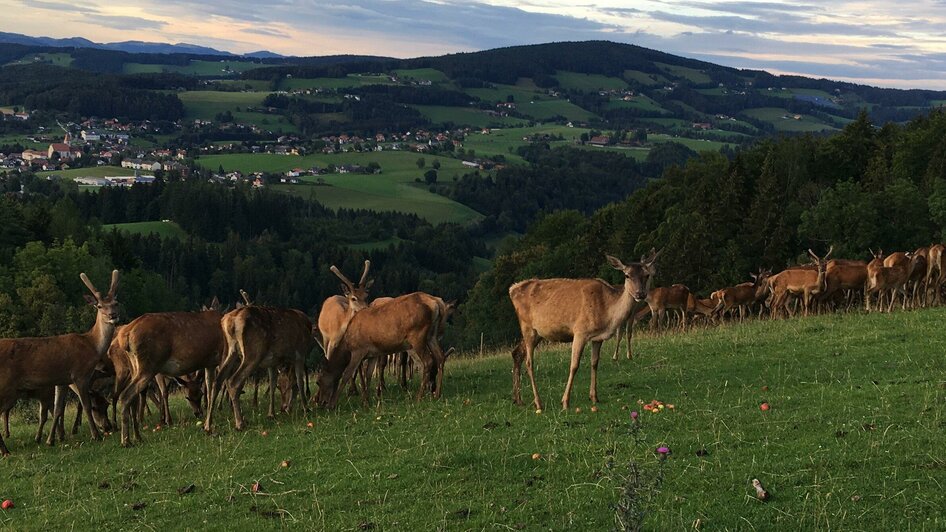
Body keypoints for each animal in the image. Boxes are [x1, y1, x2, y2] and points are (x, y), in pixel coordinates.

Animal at [0, 272, 121, 456]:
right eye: (99, 306)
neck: (91, 345)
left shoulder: (62, 380)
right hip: (5, 384)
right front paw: (96, 435)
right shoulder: (80, 374)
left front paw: (50, 440)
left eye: (115, 303)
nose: (113, 315)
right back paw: (5, 450)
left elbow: (57, 409)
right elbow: (85, 405)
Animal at [203, 304, 314, 432]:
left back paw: (207, 425)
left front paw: (271, 414)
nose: (283, 407)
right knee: (233, 381)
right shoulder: (300, 352)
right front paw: (305, 409)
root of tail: (230, 321)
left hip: (229, 350)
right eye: (281, 388)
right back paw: (240, 423)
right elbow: (300, 382)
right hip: (254, 351)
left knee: (217, 381)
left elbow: (272, 383)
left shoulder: (273, 361)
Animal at [316, 290, 448, 408]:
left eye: (318, 381)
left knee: (428, 361)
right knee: (440, 357)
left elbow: (346, 374)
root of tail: (436, 302)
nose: (321, 402)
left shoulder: (358, 350)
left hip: (417, 335)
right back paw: (437, 393)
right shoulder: (373, 353)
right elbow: (368, 373)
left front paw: (333, 404)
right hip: (431, 335)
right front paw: (366, 401)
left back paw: (419, 397)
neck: (347, 344)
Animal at [508, 250, 656, 412]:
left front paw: (594, 397)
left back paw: (518, 399)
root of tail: (512, 290)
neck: (607, 315)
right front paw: (565, 402)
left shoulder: (597, 338)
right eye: (627, 275)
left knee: (517, 353)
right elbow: (574, 365)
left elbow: (595, 363)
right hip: (527, 327)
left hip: (539, 333)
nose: (640, 294)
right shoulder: (580, 331)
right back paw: (538, 402)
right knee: (529, 362)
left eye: (647, 275)